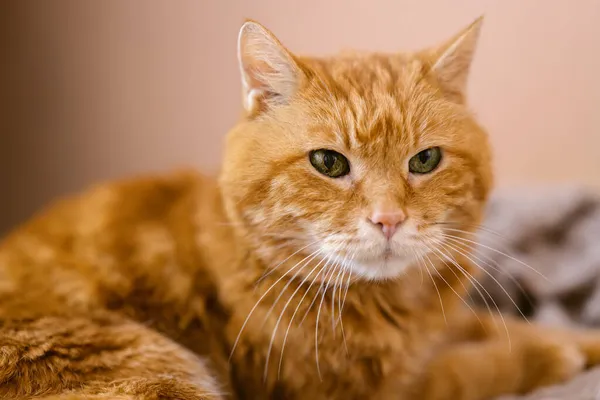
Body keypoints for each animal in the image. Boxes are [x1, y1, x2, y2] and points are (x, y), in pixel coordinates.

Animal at [1, 16, 600, 400]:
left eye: (425, 160)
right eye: (328, 163)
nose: (388, 219)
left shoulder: (443, 325)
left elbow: (495, 325)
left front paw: (578, 341)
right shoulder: (358, 393)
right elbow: (477, 369)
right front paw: (552, 356)